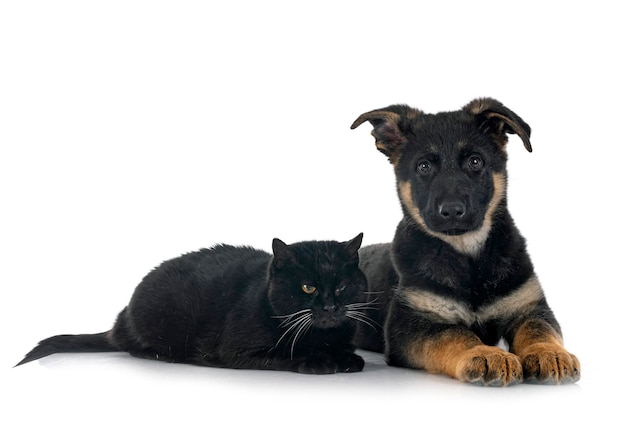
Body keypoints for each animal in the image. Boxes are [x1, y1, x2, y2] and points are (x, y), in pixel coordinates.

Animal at [17, 234, 372, 372]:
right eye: (308, 287)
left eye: (342, 286)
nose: (330, 307)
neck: (321, 335)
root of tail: (122, 318)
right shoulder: (238, 350)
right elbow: (288, 355)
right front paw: (320, 361)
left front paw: (346, 358)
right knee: (132, 345)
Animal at [352, 99, 580, 386]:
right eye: (423, 166)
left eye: (475, 161)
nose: (451, 210)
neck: (468, 256)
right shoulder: (409, 324)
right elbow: (454, 335)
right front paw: (485, 353)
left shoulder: (528, 306)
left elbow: (539, 328)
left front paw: (549, 352)